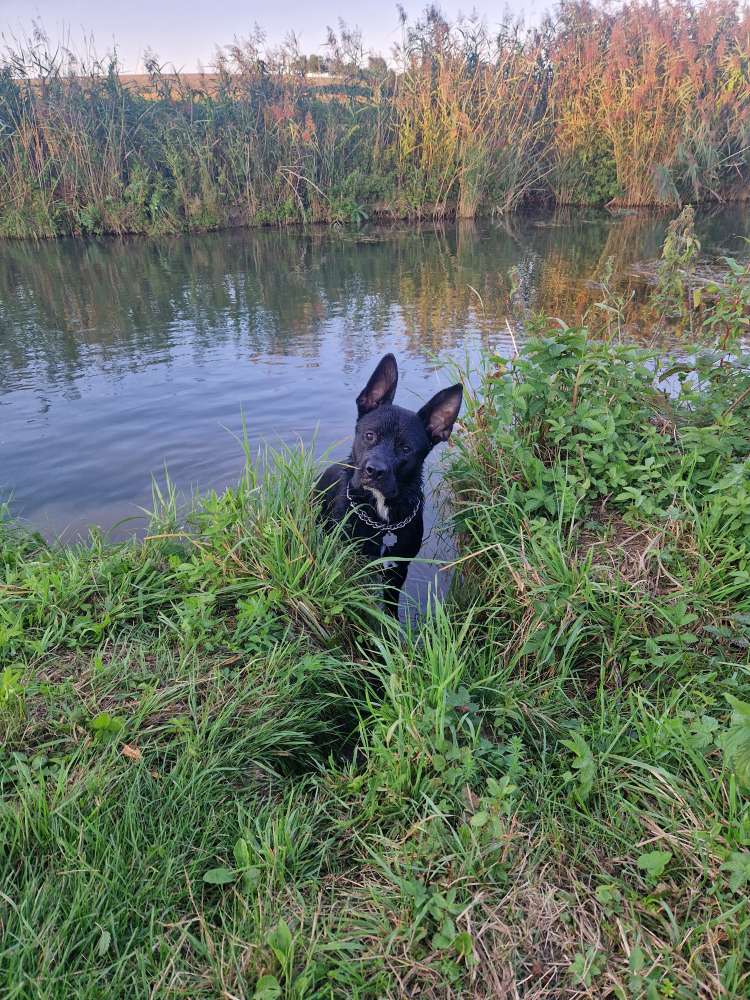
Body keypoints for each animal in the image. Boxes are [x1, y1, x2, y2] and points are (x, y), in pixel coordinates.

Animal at [316, 352, 462, 616]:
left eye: (405, 449)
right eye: (369, 435)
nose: (374, 471)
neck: (382, 519)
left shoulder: (397, 568)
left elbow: (390, 607)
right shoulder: (348, 559)